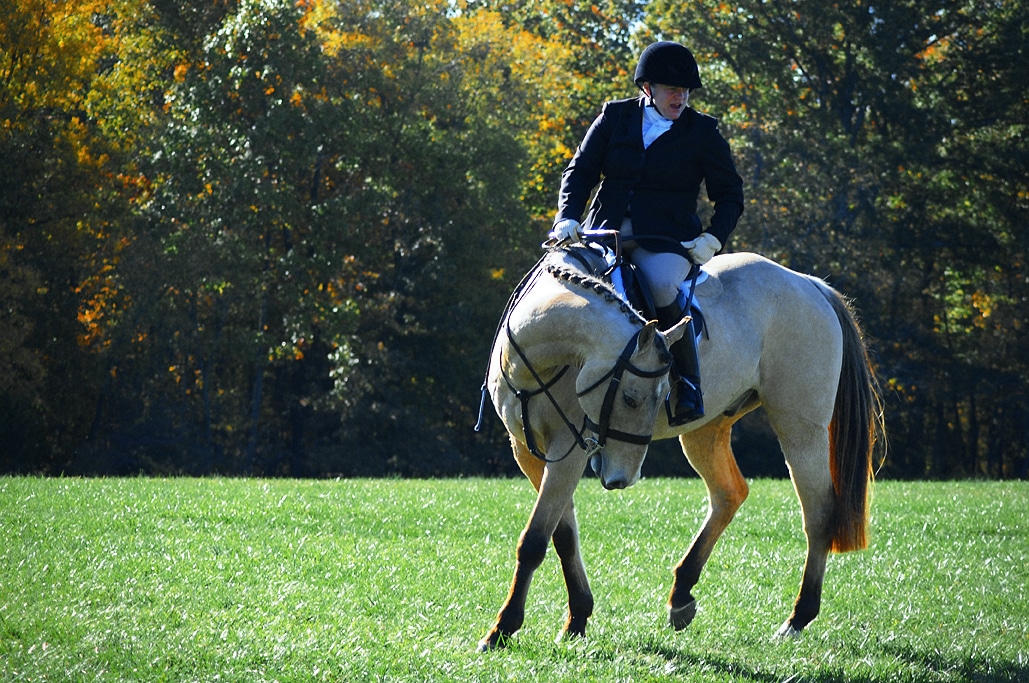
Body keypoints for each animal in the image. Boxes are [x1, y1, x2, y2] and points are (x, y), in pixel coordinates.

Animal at [473, 239, 884, 650]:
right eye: (632, 399)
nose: (622, 479)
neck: (538, 358)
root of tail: (808, 284)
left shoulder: (569, 449)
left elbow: (535, 539)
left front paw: (503, 628)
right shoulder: (526, 450)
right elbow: (562, 535)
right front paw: (577, 618)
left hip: (800, 428)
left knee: (818, 513)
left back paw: (798, 617)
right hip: (705, 431)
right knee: (729, 494)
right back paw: (682, 595)